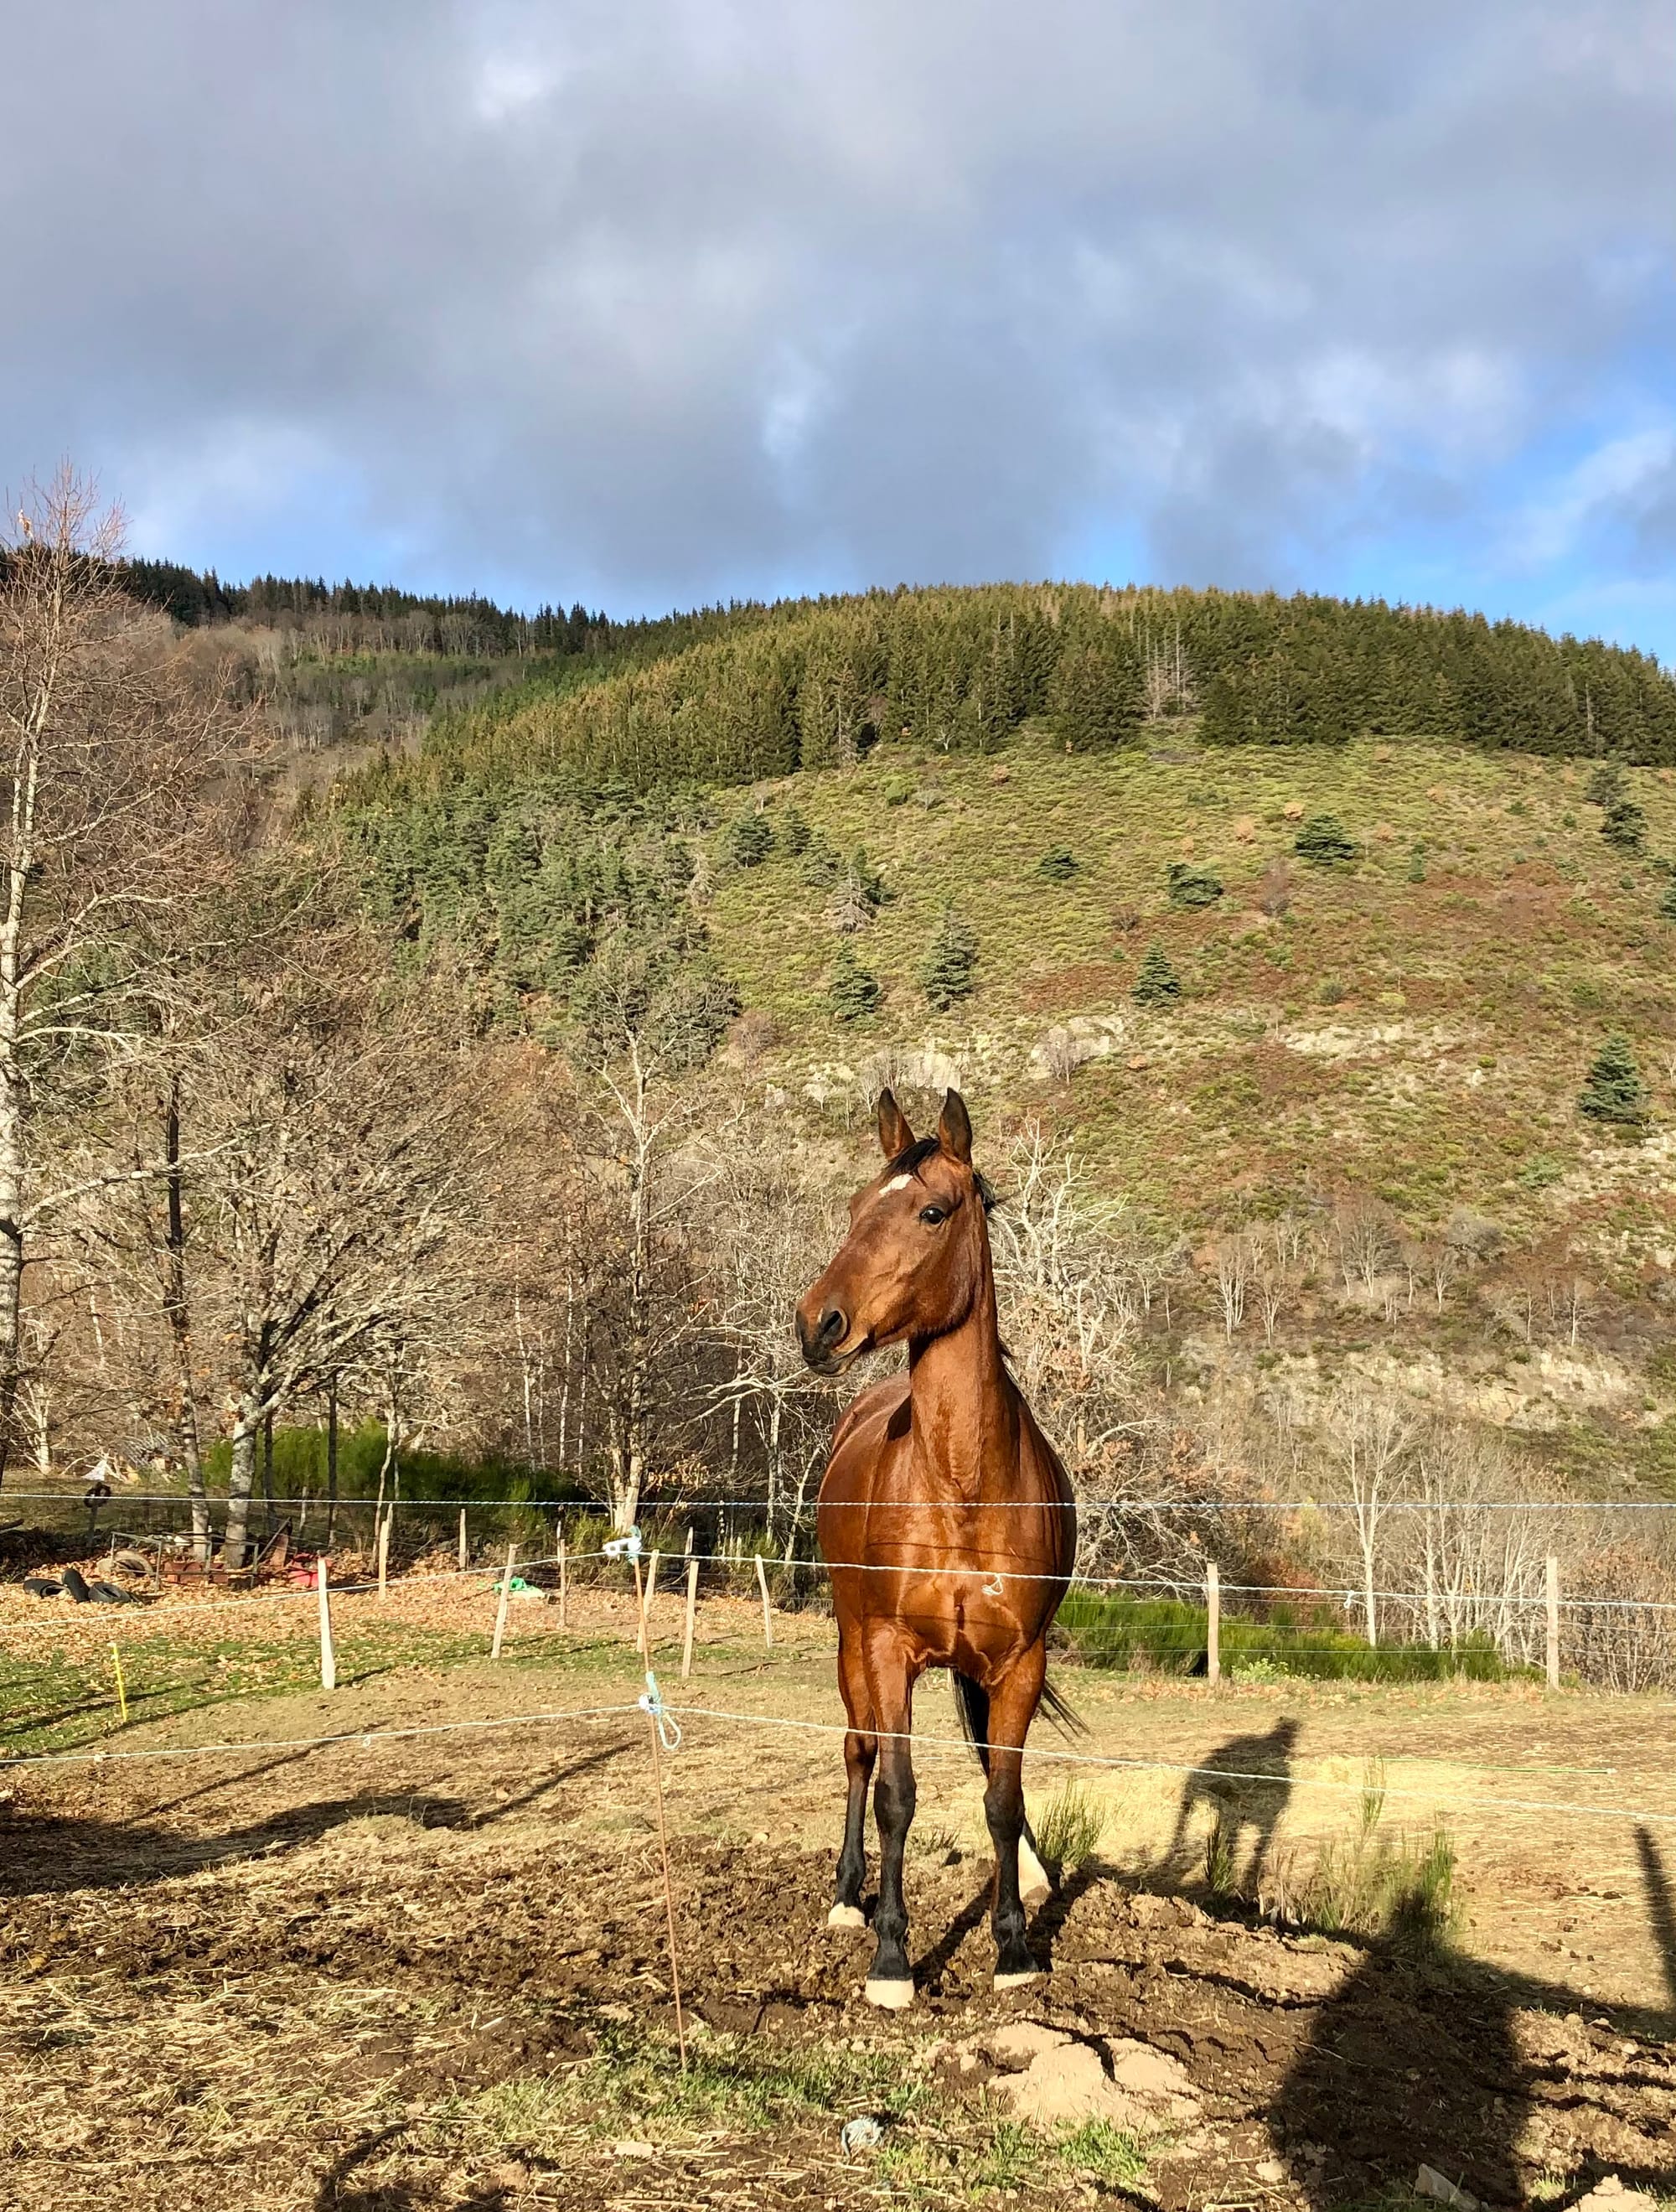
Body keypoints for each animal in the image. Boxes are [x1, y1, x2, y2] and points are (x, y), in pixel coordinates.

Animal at [795, 1084, 1083, 2008]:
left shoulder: (1020, 1659)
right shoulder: (889, 1649)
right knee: (858, 1753)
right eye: (856, 1206)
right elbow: (896, 1793)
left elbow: (1001, 1795)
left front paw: (1015, 1945)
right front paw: (892, 1959)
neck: (962, 1484)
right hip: (851, 1639)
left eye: (931, 1210)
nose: (819, 1323)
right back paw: (846, 1897)